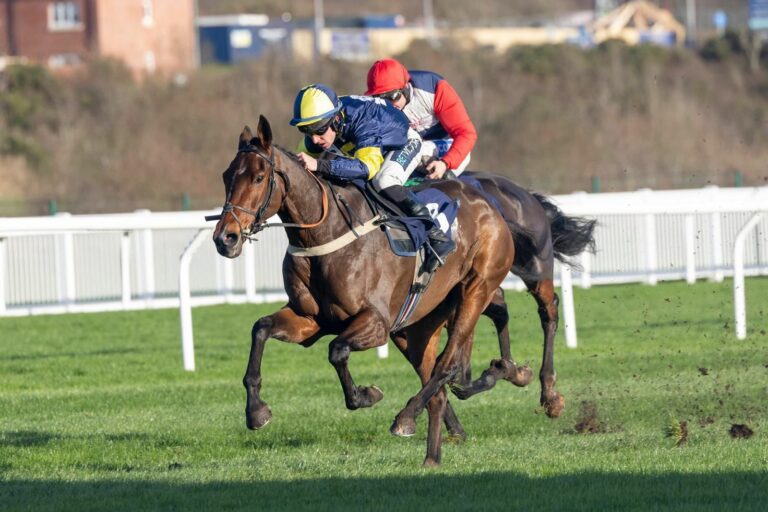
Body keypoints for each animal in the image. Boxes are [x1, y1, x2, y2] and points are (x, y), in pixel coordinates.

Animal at [211, 116, 514, 465]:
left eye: (259, 177)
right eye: (227, 176)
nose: (225, 238)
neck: (324, 234)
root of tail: (486, 203)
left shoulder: (377, 323)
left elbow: (337, 350)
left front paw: (365, 395)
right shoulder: (310, 320)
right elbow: (260, 329)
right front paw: (256, 411)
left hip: (476, 288)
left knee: (448, 364)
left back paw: (408, 416)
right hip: (416, 327)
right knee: (436, 387)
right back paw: (432, 456)